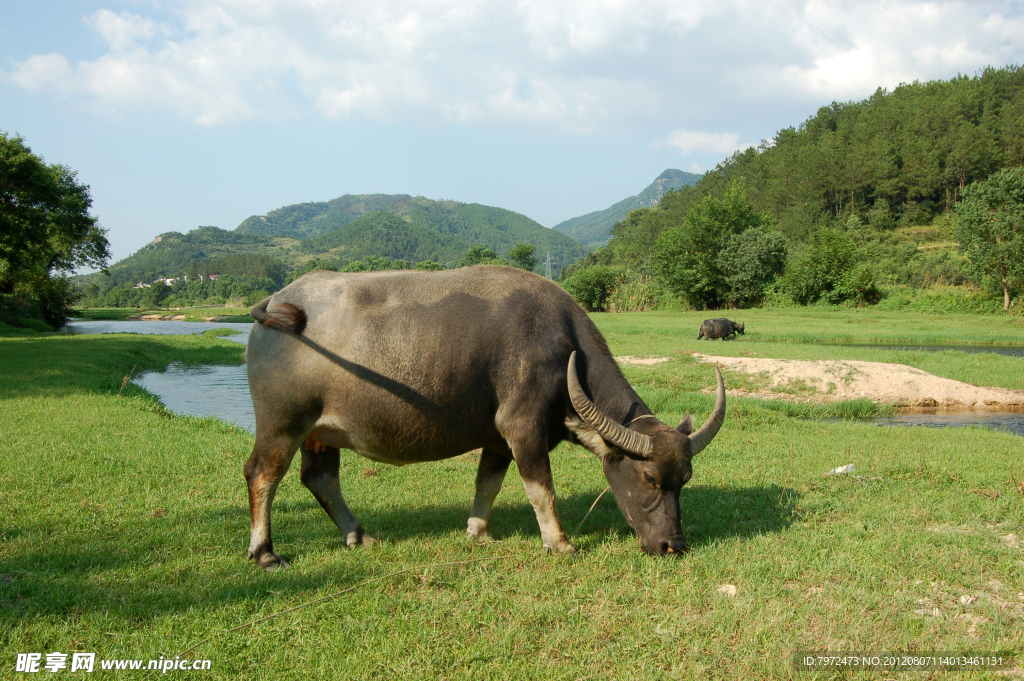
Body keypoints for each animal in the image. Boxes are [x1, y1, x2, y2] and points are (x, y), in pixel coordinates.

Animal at [245, 266, 729, 569]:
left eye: (684, 480)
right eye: (649, 478)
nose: (673, 545)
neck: (563, 347)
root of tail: (282, 300)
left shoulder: (498, 439)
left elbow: (488, 483)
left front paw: (478, 531)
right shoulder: (523, 429)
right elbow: (541, 489)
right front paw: (560, 543)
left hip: (321, 432)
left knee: (319, 478)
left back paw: (358, 535)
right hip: (282, 424)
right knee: (263, 474)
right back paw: (265, 552)